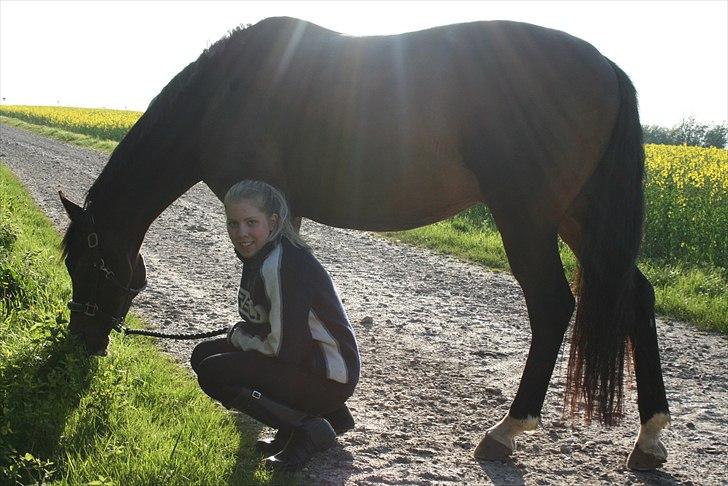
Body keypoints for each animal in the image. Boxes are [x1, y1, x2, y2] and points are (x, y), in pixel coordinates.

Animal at [59, 17, 672, 468]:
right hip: (582, 215)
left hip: (526, 217)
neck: (224, 95)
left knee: (551, 305)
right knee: (636, 297)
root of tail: (607, 69)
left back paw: (506, 432)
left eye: (85, 266)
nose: (82, 343)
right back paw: (649, 439)